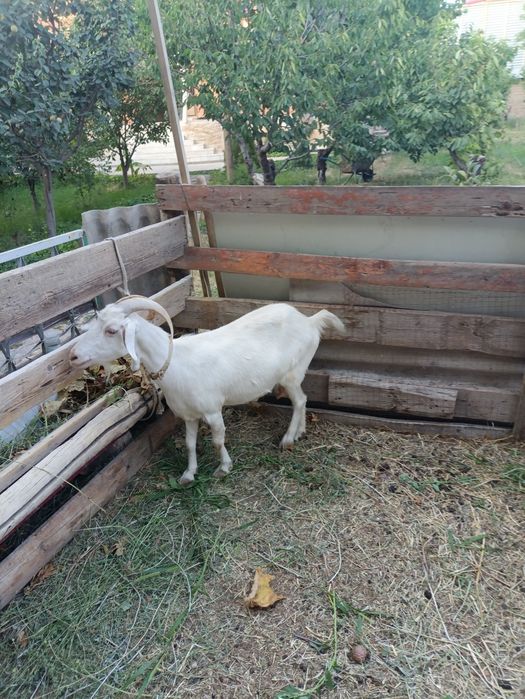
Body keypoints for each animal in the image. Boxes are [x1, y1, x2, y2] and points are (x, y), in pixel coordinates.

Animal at [69, 298, 346, 485]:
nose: (72, 356)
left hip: (291, 374)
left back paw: (287, 439)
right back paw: (300, 432)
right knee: (304, 400)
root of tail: (309, 321)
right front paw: (188, 474)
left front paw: (224, 467)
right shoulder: (188, 415)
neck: (176, 362)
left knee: (298, 401)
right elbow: (190, 443)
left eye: (111, 330)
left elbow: (217, 440)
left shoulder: (212, 410)